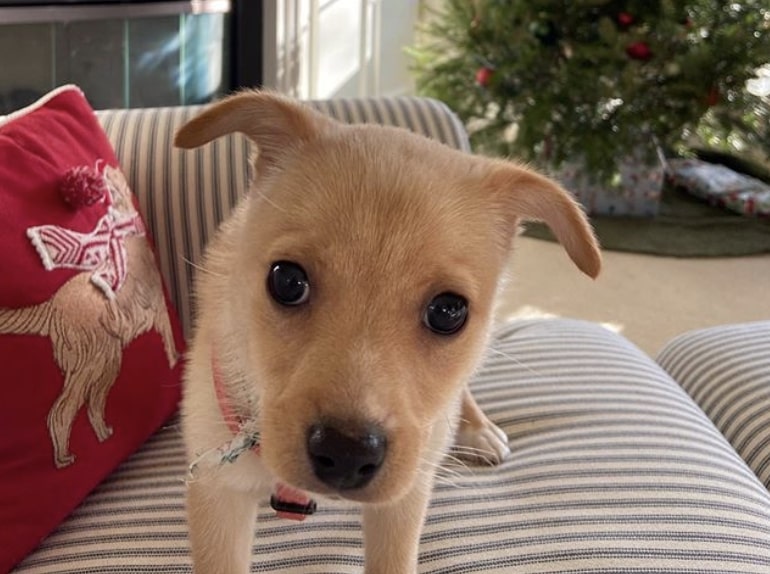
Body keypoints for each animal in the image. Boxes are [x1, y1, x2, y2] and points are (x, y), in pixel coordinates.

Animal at [175, 91, 600, 574]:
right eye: (286, 281)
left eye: (449, 311)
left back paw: (477, 427)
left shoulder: (404, 502)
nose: (346, 454)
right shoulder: (217, 493)